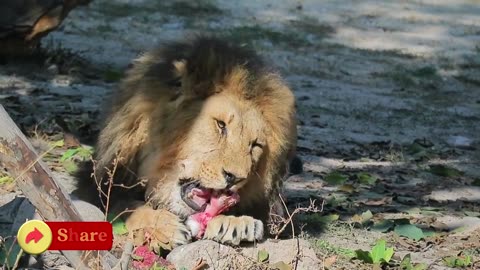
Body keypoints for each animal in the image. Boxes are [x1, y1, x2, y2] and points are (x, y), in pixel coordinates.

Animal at [73, 36, 298, 251]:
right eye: (221, 125)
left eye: (255, 145)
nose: (235, 178)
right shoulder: (97, 183)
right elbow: (127, 207)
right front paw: (163, 226)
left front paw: (236, 223)